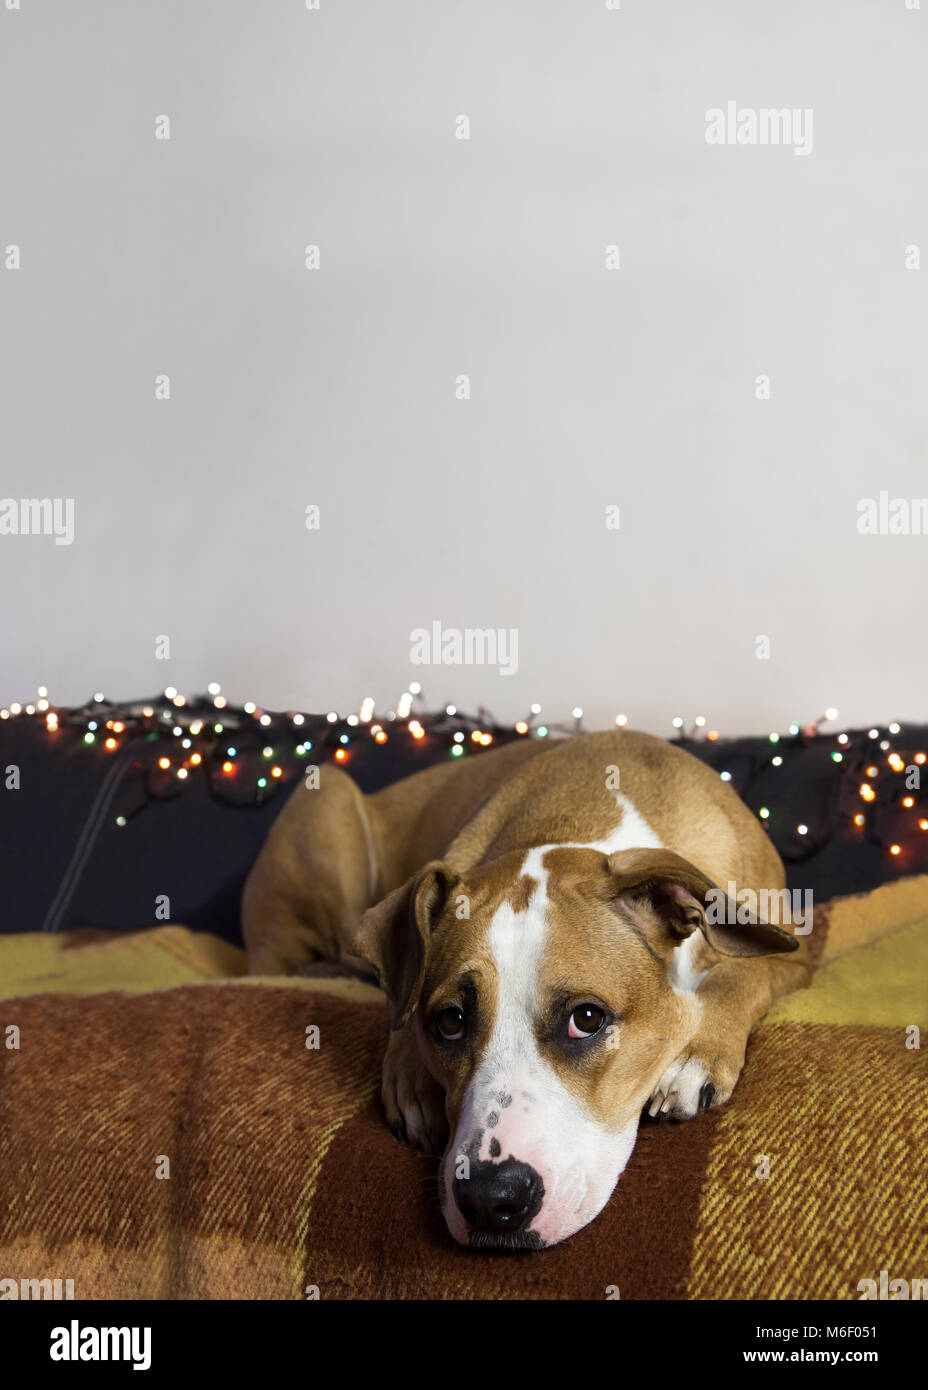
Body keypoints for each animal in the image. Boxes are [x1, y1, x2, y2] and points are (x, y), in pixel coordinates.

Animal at [243, 733, 805, 1256]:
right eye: (450, 1021)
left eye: (586, 1018)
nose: (490, 1200)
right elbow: (401, 1010)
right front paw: (410, 1077)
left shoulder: (795, 955)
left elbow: (744, 973)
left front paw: (698, 1053)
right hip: (325, 800)